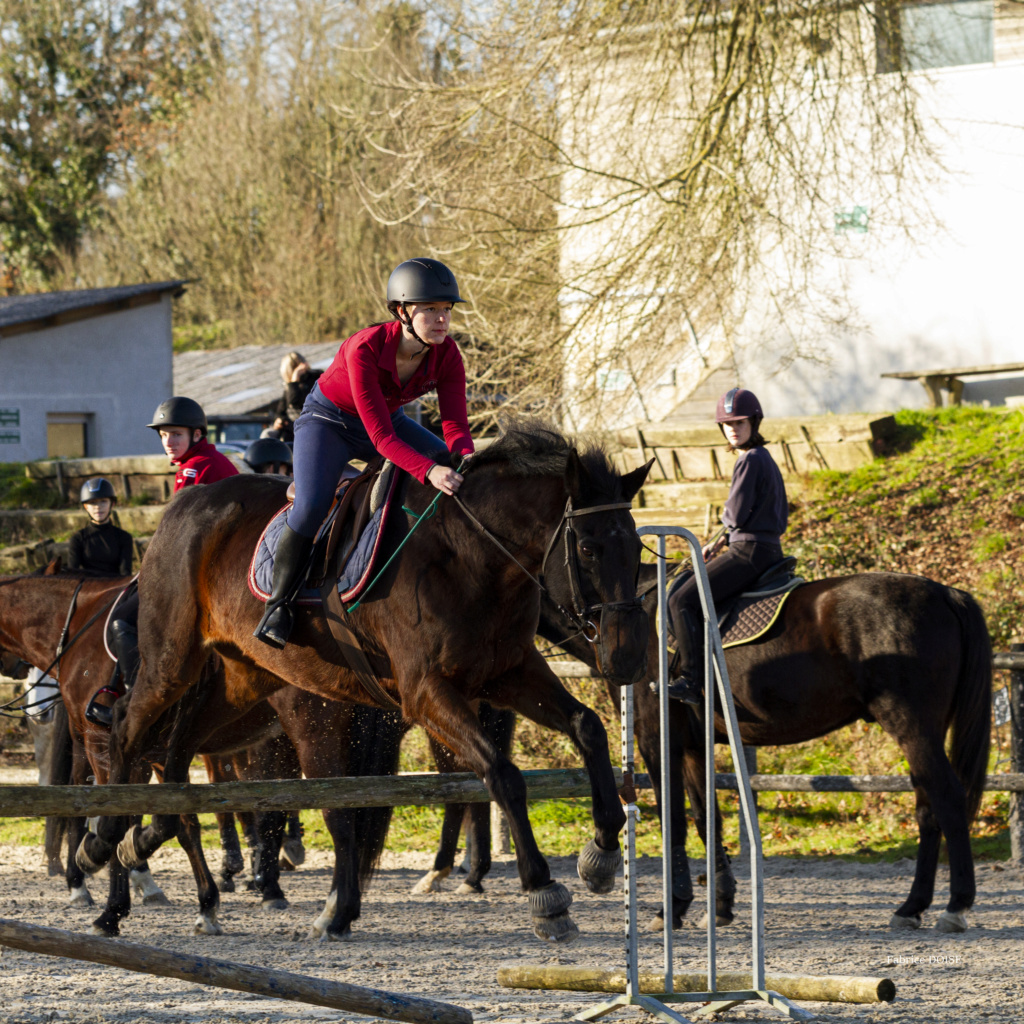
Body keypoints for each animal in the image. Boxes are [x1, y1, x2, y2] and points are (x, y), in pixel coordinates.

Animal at [83, 423, 651, 942]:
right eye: (589, 548)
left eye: (637, 548)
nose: (625, 658)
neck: (473, 555)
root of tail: (180, 507)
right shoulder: (426, 692)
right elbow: (501, 774)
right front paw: (543, 892)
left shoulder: (506, 673)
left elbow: (587, 727)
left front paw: (603, 850)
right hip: (171, 661)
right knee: (127, 731)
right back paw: (105, 855)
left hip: (244, 679)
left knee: (178, 753)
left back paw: (141, 847)